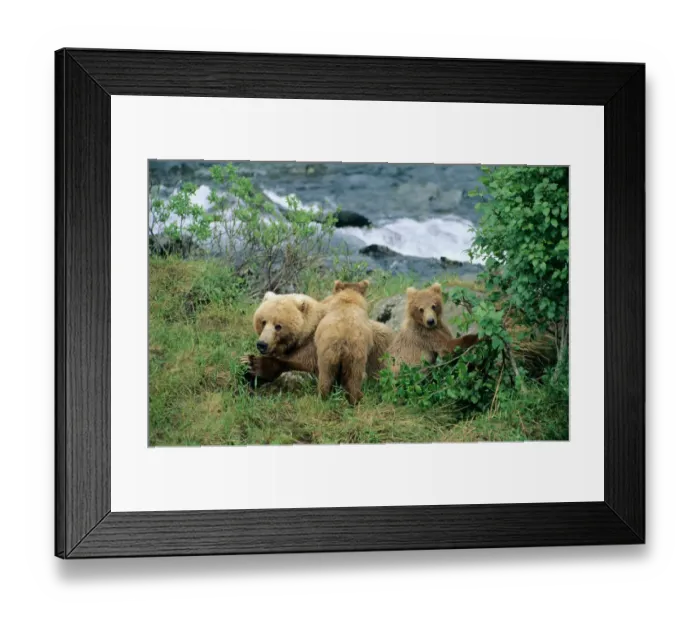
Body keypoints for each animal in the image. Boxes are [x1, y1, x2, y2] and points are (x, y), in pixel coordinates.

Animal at [241, 289, 394, 387]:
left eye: (278, 326)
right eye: (263, 321)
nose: (262, 344)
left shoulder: (317, 346)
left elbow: (305, 365)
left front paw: (254, 363)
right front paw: (247, 363)